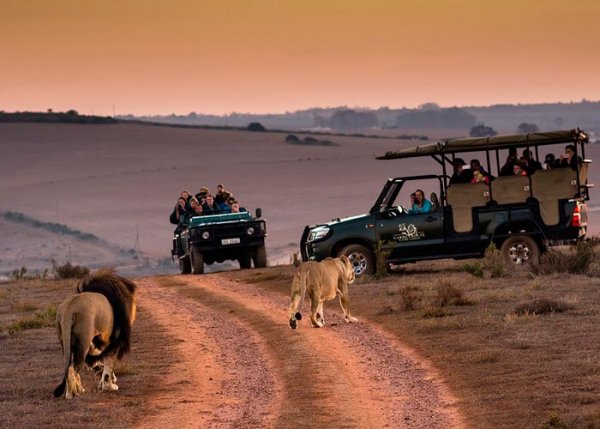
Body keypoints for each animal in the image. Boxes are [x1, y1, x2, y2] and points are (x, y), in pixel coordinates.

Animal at [53, 268, 138, 398]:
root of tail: (70, 309)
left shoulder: (97, 345)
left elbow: (98, 365)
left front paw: (106, 379)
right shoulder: (114, 343)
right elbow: (108, 366)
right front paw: (109, 386)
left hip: (65, 340)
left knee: (69, 366)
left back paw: (78, 389)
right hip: (83, 342)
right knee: (73, 368)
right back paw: (73, 393)